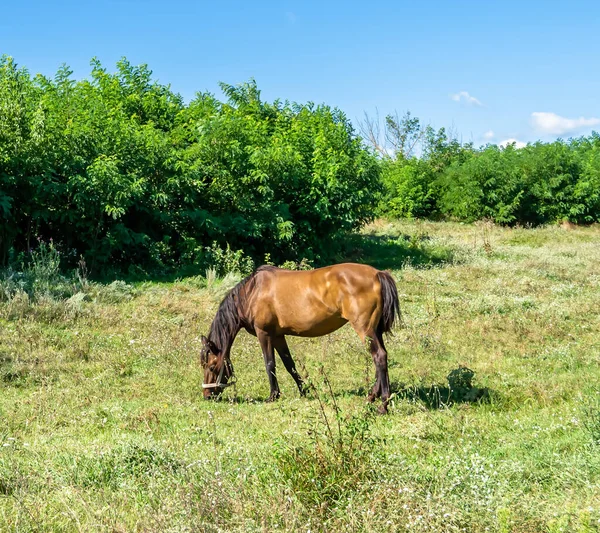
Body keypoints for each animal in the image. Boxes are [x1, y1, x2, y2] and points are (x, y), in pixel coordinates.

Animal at [199, 264, 400, 414]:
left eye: (211, 366)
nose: (207, 395)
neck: (252, 293)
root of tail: (378, 274)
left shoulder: (264, 334)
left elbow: (270, 364)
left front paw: (273, 396)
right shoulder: (278, 336)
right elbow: (290, 364)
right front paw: (304, 391)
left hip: (364, 328)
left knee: (379, 357)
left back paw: (383, 405)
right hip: (375, 331)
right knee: (381, 357)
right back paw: (372, 396)